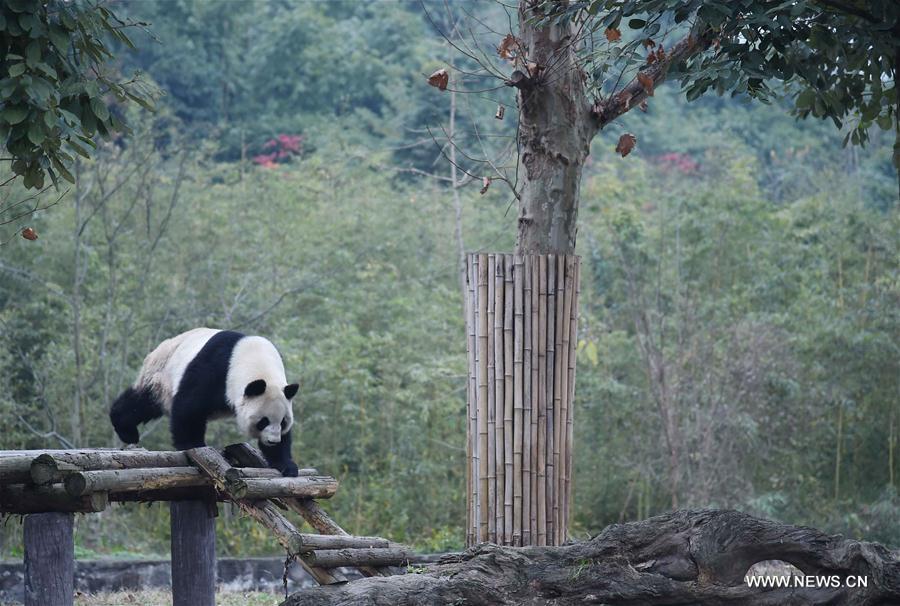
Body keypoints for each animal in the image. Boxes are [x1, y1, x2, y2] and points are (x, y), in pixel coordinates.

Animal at [110, 330, 300, 478]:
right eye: (263, 421)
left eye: (283, 422)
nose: (273, 441)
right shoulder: (216, 370)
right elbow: (189, 408)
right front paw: (192, 445)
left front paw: (286, 465)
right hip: (160, 376)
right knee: (142, 403)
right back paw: (126, 430)